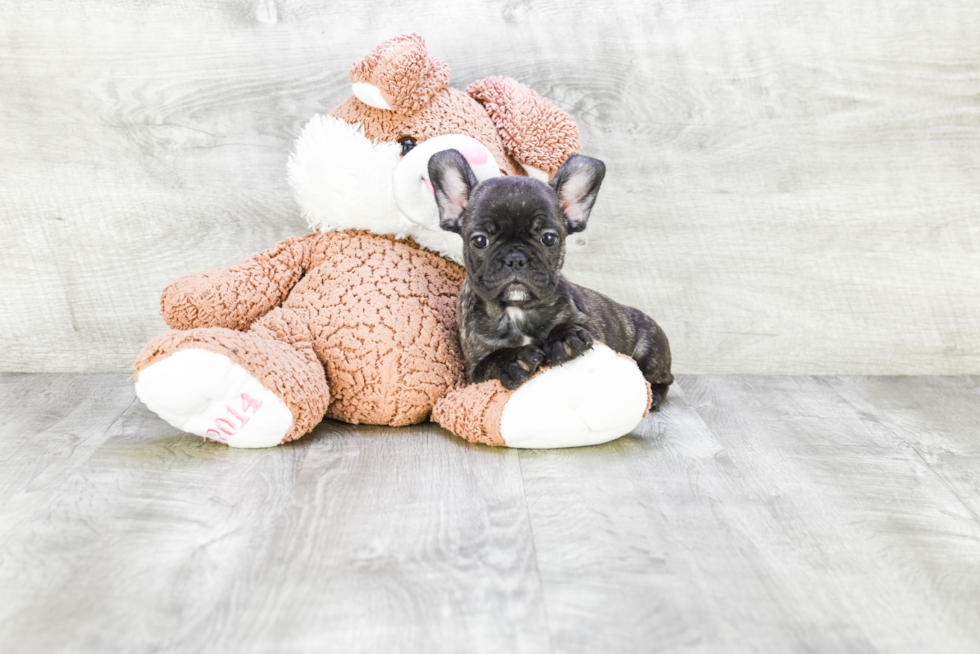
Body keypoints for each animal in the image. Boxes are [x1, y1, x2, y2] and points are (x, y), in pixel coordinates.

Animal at [428, 149, 672, 410]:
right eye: (480, 240)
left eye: (548, 238)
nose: (515, 258)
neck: (516, 311)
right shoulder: (474, 369)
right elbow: (490, 362)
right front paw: (512, 360)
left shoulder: (593, 328)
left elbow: (577, 326)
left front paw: (565, 338)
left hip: (650, 352)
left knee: (663, 379)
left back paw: (655, 396)